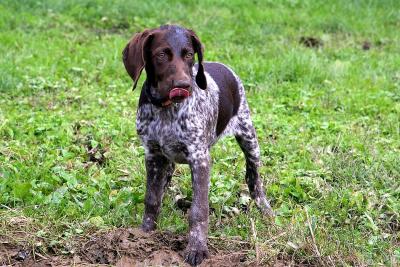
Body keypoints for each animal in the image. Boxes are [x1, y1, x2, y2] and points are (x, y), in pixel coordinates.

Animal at [121, 24, 272, 266]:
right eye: (161, 55)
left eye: (189, 55)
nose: (183, 85)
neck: (166, 110)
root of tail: (222, 66)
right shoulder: (153, 154)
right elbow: (152, 199)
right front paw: (144, 235)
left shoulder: (200, 159)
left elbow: (198, 210)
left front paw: (197, 248)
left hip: (249, 137)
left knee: (253, 177)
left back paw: (266, 210)